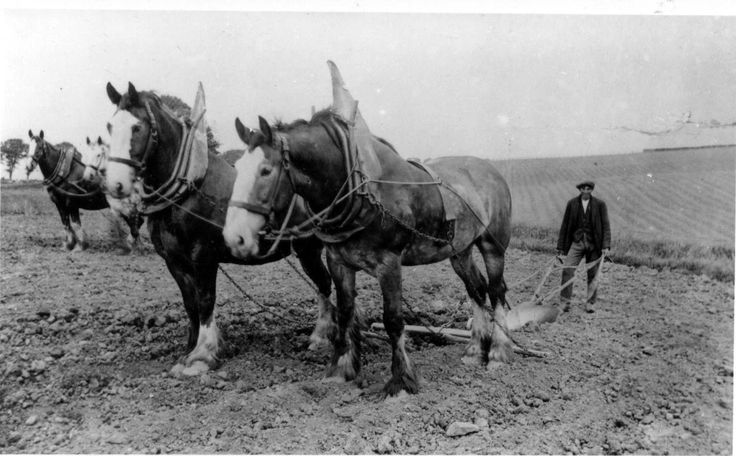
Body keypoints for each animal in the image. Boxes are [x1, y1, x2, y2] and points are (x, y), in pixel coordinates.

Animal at [100, 83, 336, 376]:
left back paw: (320, 337)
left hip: (309, 250)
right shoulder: (174, 261)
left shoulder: (204, 257)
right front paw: (188, 350)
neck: (190, 187)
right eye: (110, 126)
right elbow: (190, 304)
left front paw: (203, 354)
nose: (115, 184)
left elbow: (205, 301)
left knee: (325, 284)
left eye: (137, 127)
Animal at [221, 61, 556, 396]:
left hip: (493, 245)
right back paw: (474, 351)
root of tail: (491, 169)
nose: (234, 237)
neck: (360, 189)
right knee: (477, 289)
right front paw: (341, 370)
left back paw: (498, 351)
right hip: (459, 250)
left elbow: (393, 319)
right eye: (236, 168)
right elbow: (345, 313)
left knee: (497, 291)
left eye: (266, 170)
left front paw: (401, 381)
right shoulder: (338, 261)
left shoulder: (389, 263)